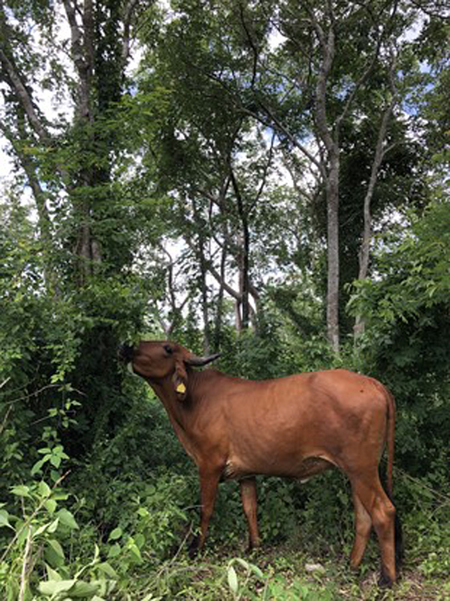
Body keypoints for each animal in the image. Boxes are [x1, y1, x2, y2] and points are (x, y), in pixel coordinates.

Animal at [118, 340, 402, 584]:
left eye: (167, 348)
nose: (127, 346)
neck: (193, 401)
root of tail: (372, 382)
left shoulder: (209, 464)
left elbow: (205, 509)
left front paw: (195, 550)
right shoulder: (245, 472)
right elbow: (250, 507)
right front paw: (254, 547)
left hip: (361, 468)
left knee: (383, 511)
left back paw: (387, 578)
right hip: (357, 471)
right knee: (363, 516)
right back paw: (352, 566)